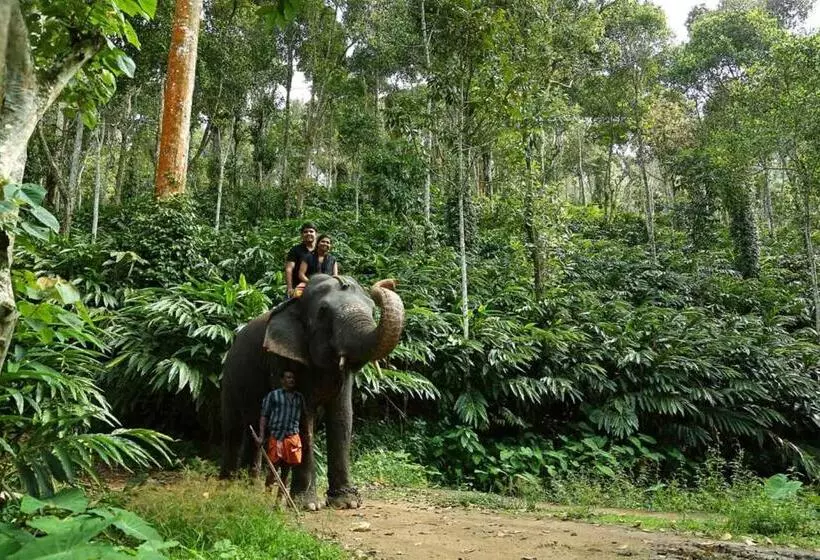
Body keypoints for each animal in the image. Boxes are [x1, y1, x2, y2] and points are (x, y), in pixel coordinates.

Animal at [219, 274, 405, 510]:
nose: (391, 282)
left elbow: (342, 416)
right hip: (230, 376)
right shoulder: (280, 359)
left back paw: (249, 488)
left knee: (256, 432)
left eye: (372, 308)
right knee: (232, 429)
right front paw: (308, 505)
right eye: (323, 312)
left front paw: (347, 503)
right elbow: (302, 417)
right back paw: (228, 488)